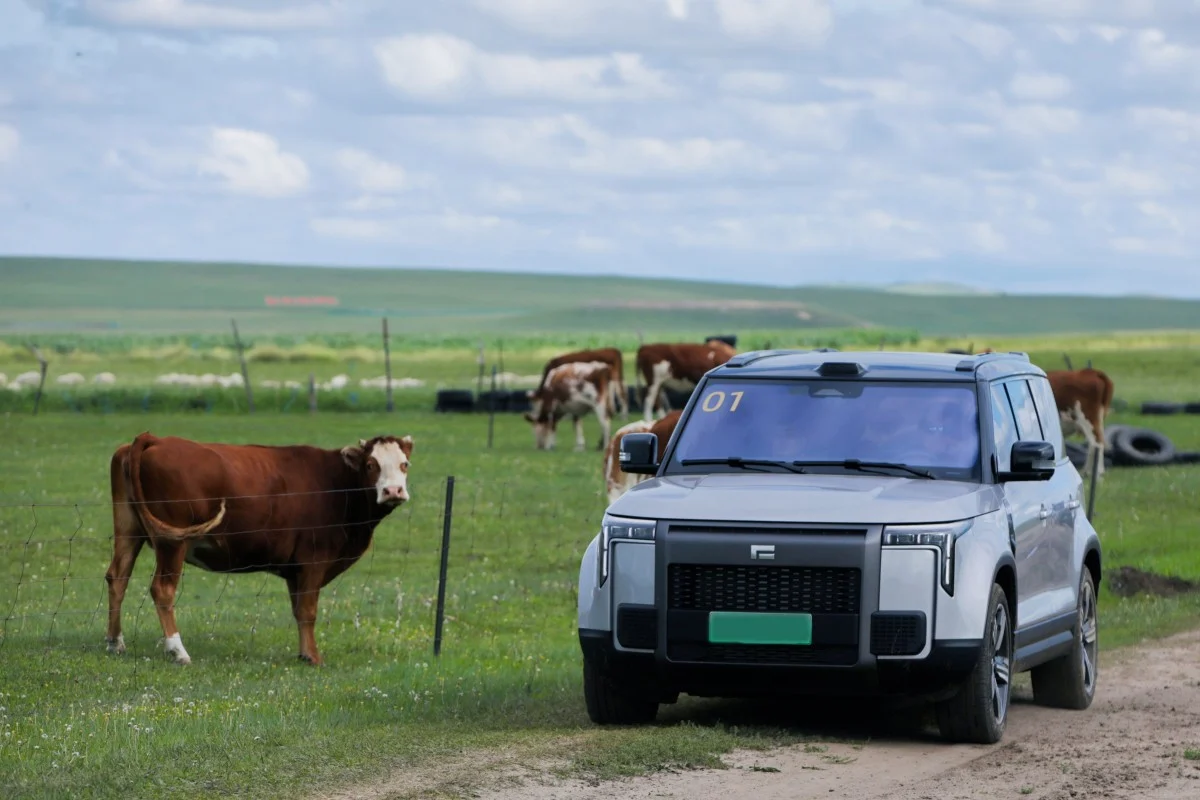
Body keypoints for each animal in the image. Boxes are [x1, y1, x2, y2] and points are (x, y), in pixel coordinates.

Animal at [108, 434, 417, 666]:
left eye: (404, 464)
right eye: (371, 464)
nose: (393, 491)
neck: (337, 486)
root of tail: (155, 438)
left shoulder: (296, 568)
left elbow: (298, 610)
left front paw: (304, 652)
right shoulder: (314, 559)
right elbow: (308, 610)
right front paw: (313, 657)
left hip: (128, 530)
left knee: (117, 578)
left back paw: (114, 642)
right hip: (173, 541)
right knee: (162, 589)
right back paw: (177, 650)